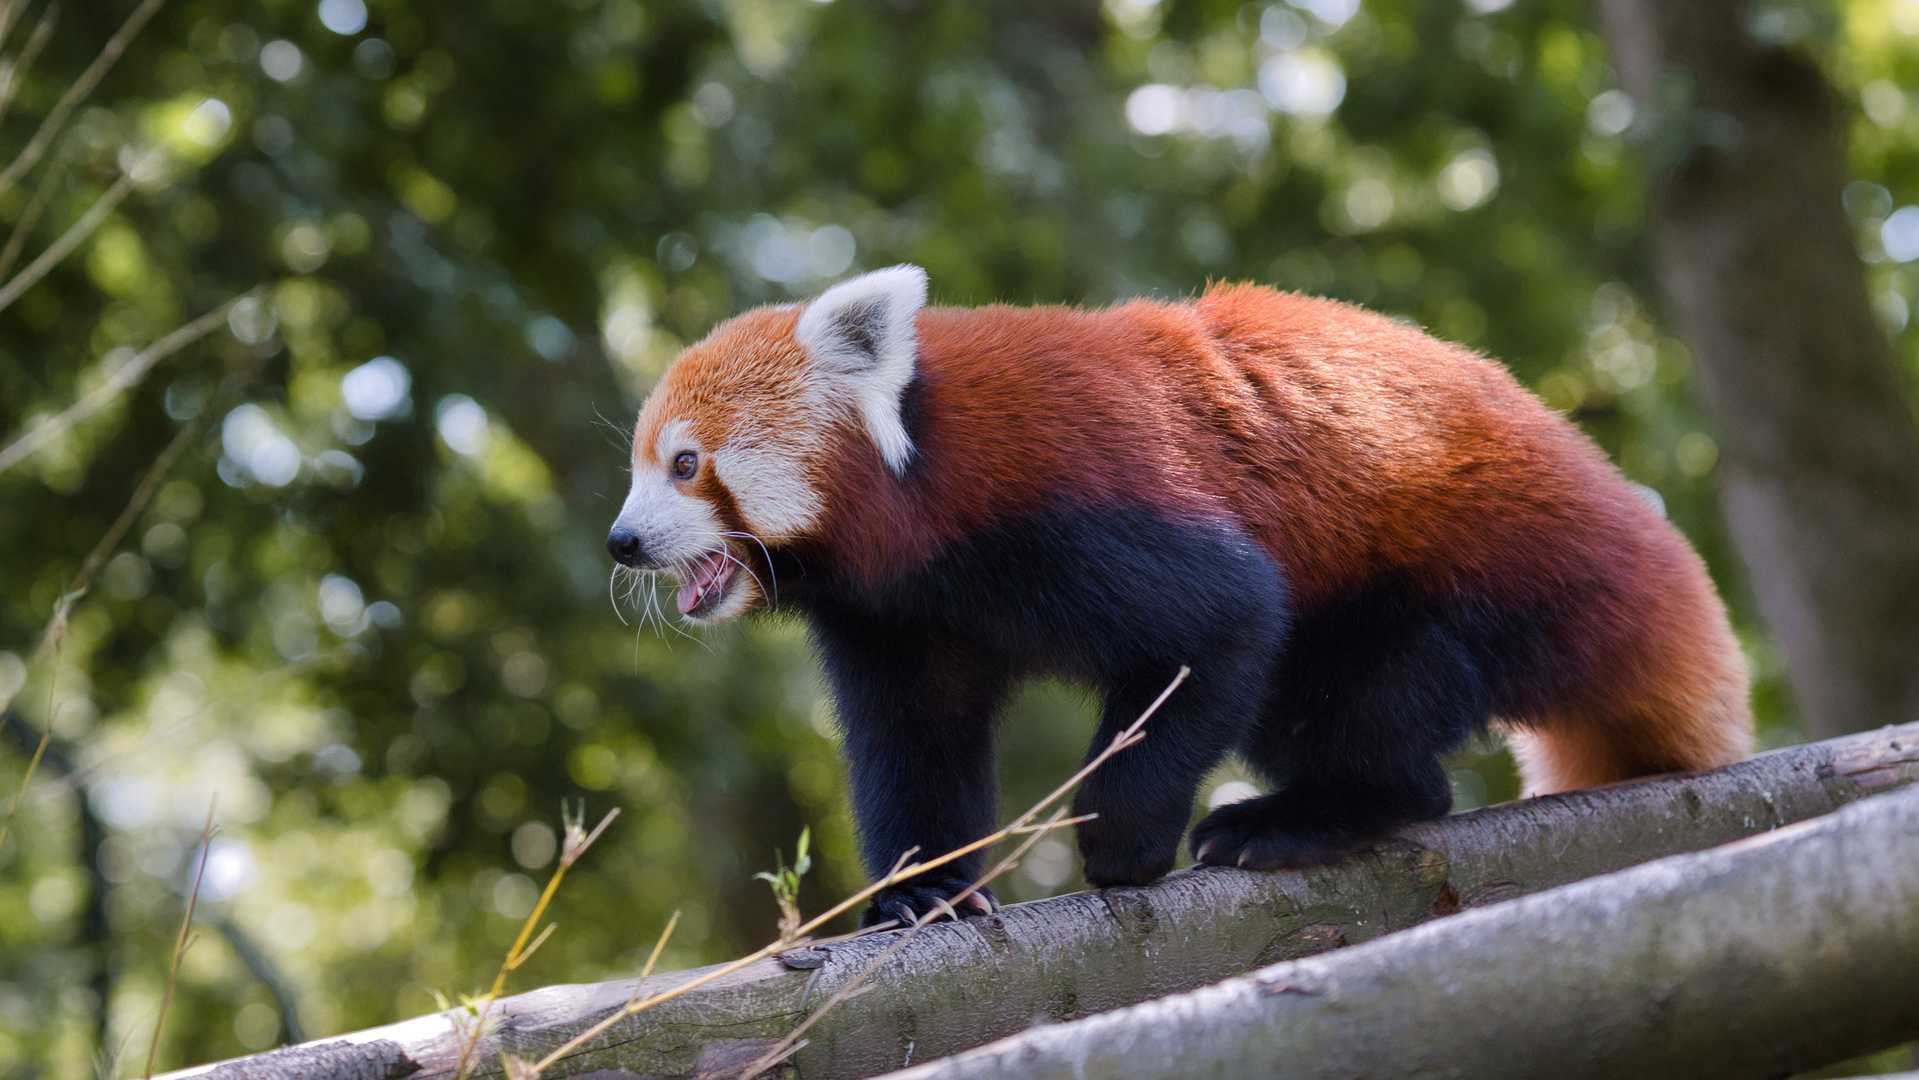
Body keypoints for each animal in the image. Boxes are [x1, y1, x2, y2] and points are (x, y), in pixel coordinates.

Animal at [610, 266, 1757, 924]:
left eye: (684, 465)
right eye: (640, 466)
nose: (621, 542)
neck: (919, 490)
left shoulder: (1066, 506)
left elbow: (1225, 619)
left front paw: (1118, 844)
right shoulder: (900, 614)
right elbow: (915, 740)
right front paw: (926, 889)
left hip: (1469, 580)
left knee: (1360, 693)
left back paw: (1307, 817)